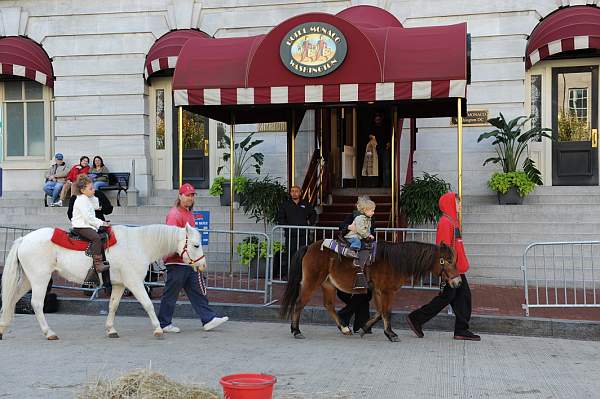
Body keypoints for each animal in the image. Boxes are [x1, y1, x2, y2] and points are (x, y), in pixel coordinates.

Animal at [0, 225, 205, 340]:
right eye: (196, 245)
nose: (203, 265)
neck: (138, 243)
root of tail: (24, 239)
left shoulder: (120, 284)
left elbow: (113, 306)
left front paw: (110, 329)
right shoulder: (134, 282)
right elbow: (148, 304)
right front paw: (158, 329)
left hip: (28, 280)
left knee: (12, 299)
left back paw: (3, 328)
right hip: (40, 279)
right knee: (36, 303)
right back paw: (48, 332)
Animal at [280, 239, 460, 342]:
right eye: (448, 260)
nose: (458, 282)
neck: (394, 261)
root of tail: (310, 247)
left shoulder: (379, 292)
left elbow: (380, 312)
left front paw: (365, 328)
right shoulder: (387, 291)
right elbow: (386, 312)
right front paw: (391, 334)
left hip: (328, 284)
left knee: (329, 305)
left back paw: (344, 328)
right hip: (311, 282)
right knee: (299, 304)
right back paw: (296, 330)